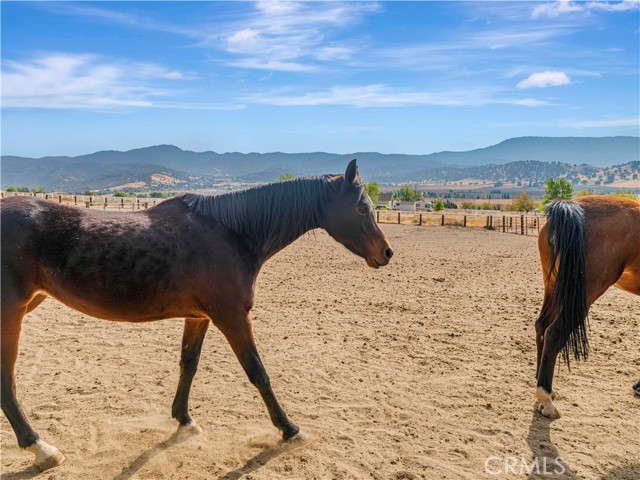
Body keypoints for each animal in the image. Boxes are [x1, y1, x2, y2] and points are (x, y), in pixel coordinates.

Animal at [0, 160, 392, 468]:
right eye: (361, 208)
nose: (387, 253)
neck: (232, 233)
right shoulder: (231, 316)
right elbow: (258, 373)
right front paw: (289, 429)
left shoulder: (199, 316)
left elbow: (188, 365)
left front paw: (184, 420)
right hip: (10, 315)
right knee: (7, 381)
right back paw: (41, 448)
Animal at [536, 197, 640, 418]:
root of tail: (569, 208)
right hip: (582, 295)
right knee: (553, 333)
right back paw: (546, 400)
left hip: (554, 286)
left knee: (541, 326)